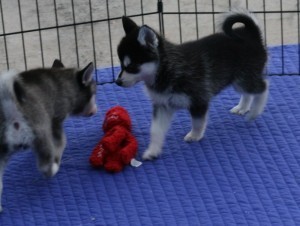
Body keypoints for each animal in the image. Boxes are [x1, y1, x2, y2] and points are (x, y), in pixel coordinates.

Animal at [0, 59, 96, 211]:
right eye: (93, 92)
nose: (95, 110)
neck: (63, 78)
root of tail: (11, 109)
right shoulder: (56, 120)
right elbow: (62, 140)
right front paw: (59, 154)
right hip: (40, 132)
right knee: (45, 165)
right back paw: (54, 167)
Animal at [116, 10, 268, 159]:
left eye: (131, 67)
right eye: (122, 65)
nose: (117, 82)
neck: (168, 69)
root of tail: (251, 32)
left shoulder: (198, 100)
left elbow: (197, 122)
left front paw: (195, 135)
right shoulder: (162, 105)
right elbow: (155, 130)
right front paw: (152, 150)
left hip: (244, 78)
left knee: (263, 88)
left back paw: (255, 112)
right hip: (239, 81)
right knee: (249, 93)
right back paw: (243, 107)